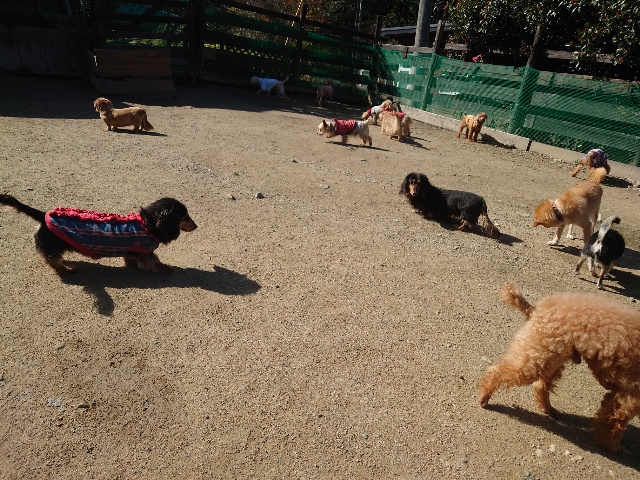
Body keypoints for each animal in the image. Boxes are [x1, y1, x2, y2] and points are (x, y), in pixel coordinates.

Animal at [0, 194, 197, 275]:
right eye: (185, 217)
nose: (196, 226)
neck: (147, 223)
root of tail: (43, 215)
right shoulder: (145, 250)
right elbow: (154, 261)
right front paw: (164, 268)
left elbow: (131, 258)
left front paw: (131, 264)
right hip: (52, 247)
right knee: (51, 261)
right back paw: (66, 270)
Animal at [479, 282, 640, 452]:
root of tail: (535, 309)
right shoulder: (630, 396)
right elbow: (614, 422)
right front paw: (611, 446)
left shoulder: (620, 392)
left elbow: (608, 416)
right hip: (538, 355)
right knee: (497, 371)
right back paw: (484, 397)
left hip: (551, 356)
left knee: (540, 386)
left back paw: (550, 410)